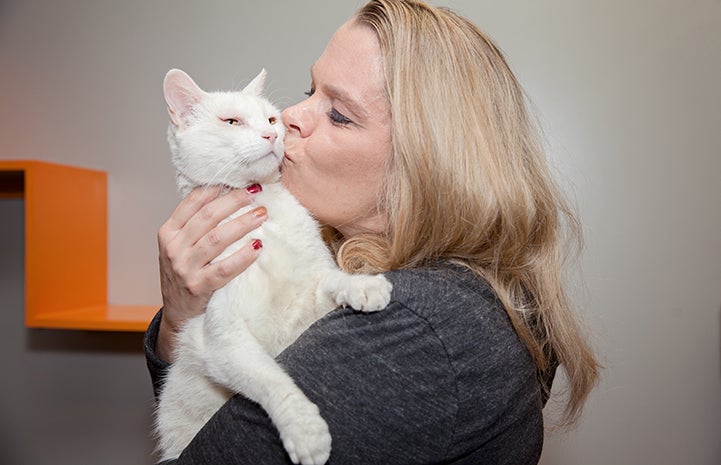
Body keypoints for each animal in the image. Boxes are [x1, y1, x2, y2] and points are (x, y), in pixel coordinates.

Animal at [156, 69, 394, 464]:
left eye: (270, 120)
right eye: (232, 122)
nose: (272, 135)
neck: (263, 212)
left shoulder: (309, 301)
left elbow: (330, 279)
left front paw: (362, 285)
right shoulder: (224, 341)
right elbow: (272, 379)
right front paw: (305, 431)